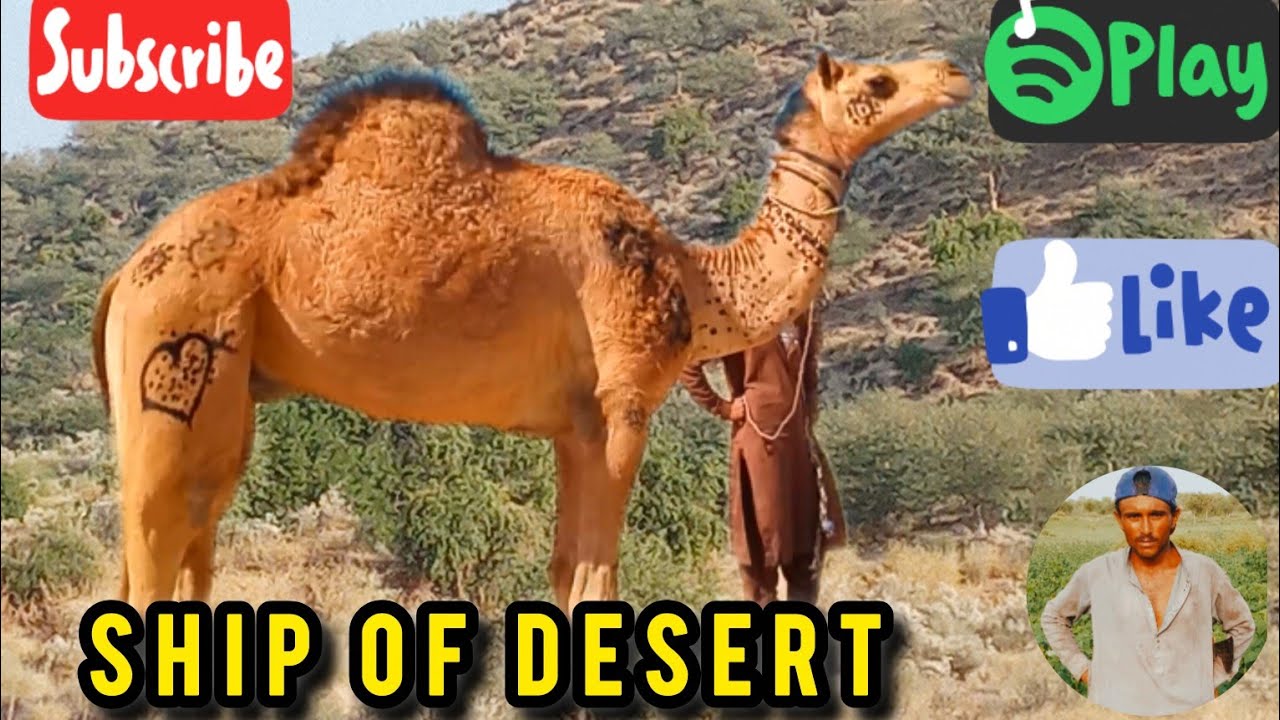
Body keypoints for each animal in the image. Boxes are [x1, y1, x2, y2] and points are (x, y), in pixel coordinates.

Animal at [91, 51, 971, 616]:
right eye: (879, 80)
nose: (956, 70)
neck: (693, 276)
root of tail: (124, 274)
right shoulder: (623, 405)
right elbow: (597, 580)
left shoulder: (576, 425)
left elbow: (564, 573)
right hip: (180, 347)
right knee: (154, 541)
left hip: (227, 397)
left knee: (187, 542)